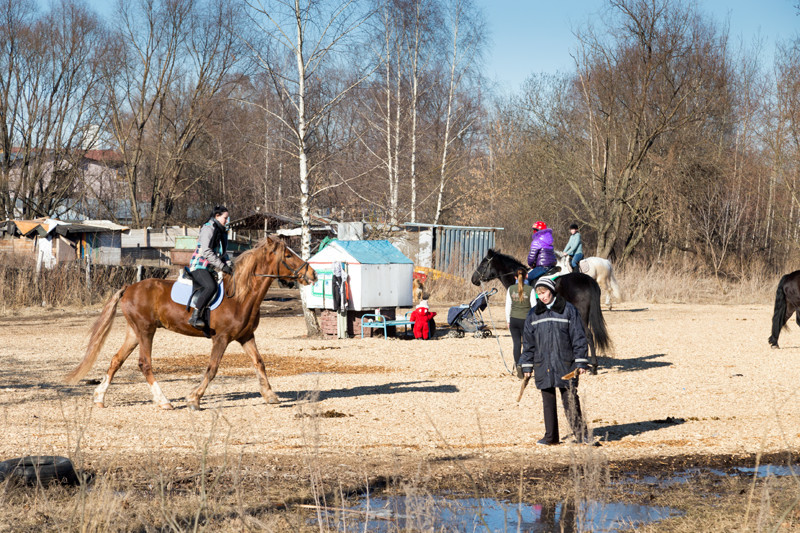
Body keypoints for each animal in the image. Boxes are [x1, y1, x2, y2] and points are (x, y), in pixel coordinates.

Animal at [65, 238, 316, 412]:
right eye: (288, 256)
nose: (312, 274)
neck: (241, 295)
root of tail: (129, 288)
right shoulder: (221, 338)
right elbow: (212, 369)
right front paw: (194, 399)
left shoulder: (245, 337)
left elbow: (259, 363)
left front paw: (270, 394)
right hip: (146, 331)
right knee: (145, 364)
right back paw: (163, 401)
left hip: (134, 332)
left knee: (116, 360)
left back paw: (99, 398)